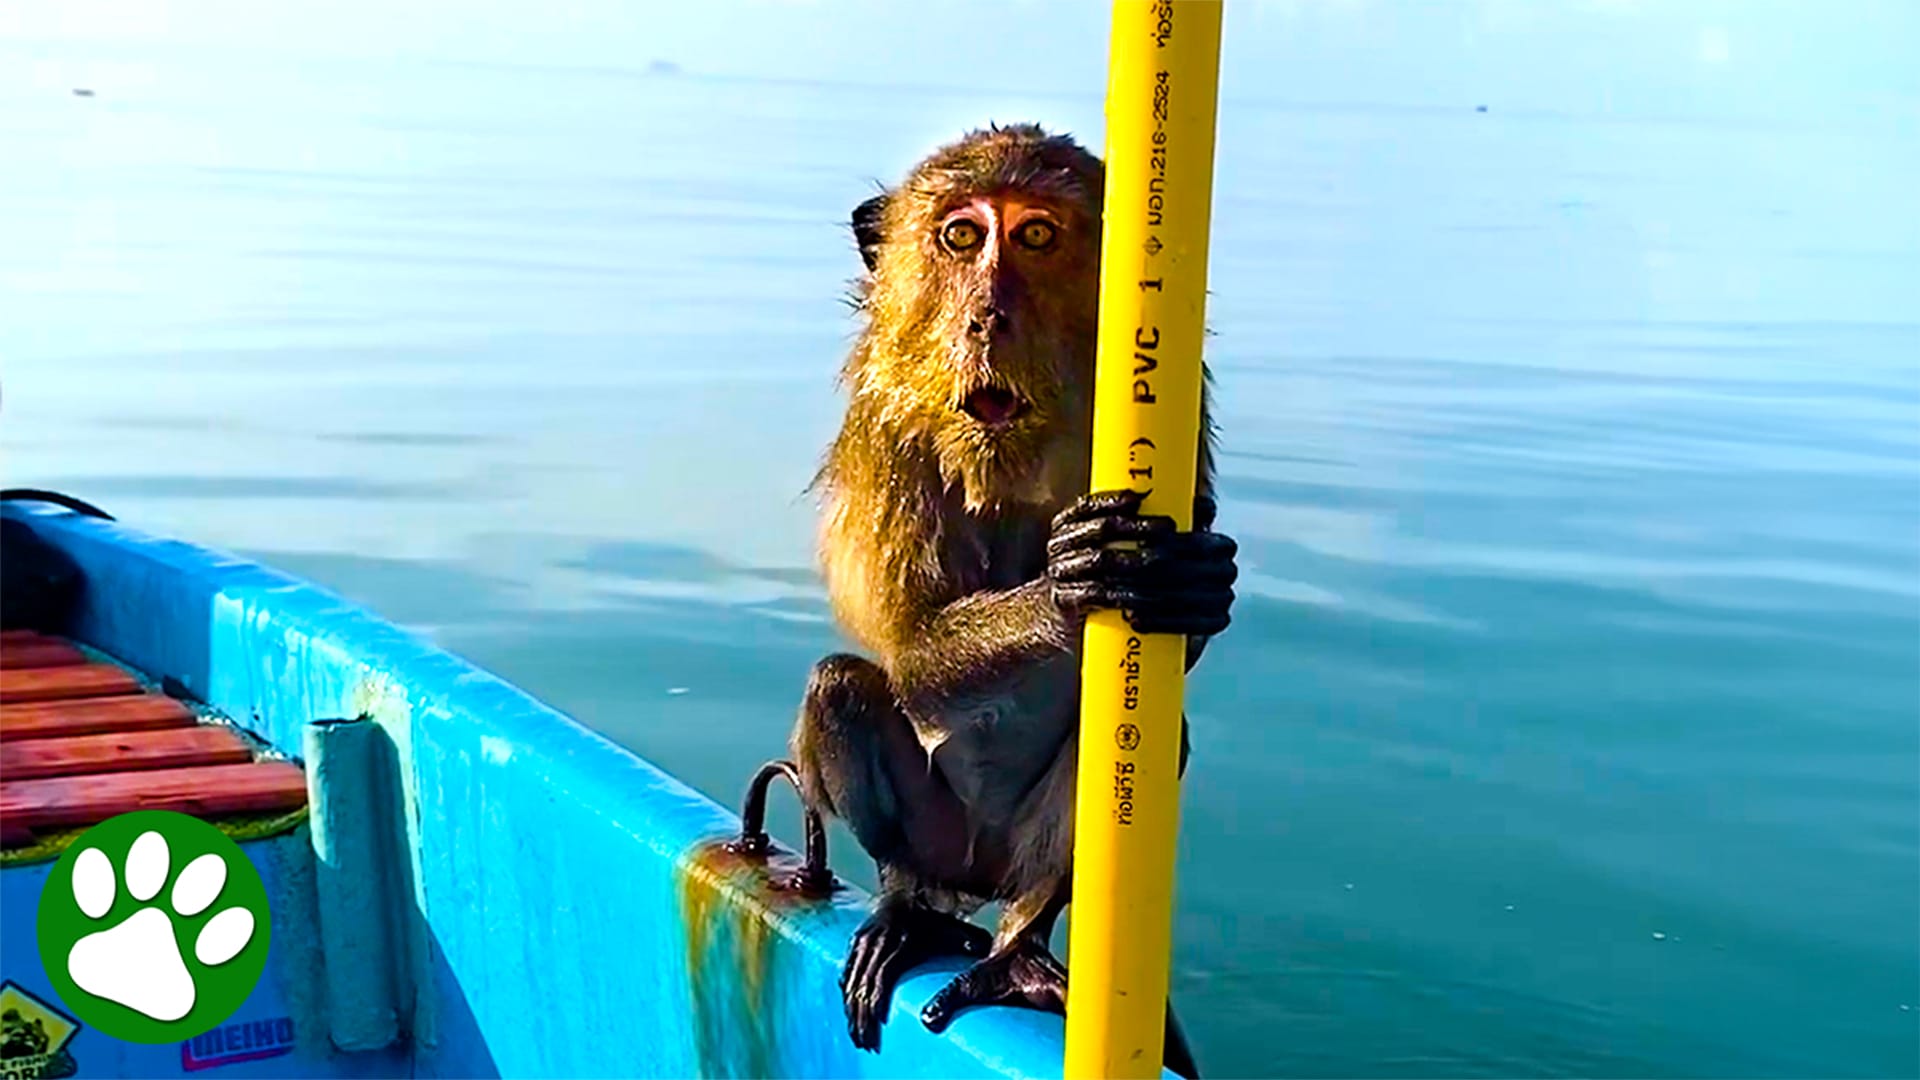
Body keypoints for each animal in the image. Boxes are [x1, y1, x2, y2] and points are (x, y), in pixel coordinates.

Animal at [787, 123, 1236, 1078]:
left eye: (1034, 236)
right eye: (961, 236)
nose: (988, 315)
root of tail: (980, 878)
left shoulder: (1190, 403)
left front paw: (1193, 581)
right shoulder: (883, 432)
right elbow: (911, 645)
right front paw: (1066, 585)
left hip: (1020, 857)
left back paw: (1020, 950)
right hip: (941, 838)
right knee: (840, 690)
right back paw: (909, 911)